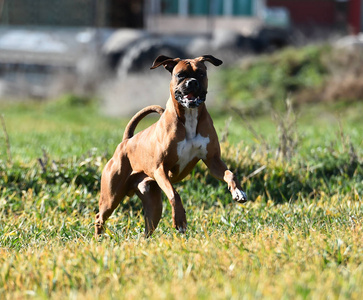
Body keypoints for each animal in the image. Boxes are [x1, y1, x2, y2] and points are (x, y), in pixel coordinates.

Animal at [95, 54, 247, 237]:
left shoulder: (213, 161)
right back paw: (98, 238)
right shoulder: (161, 169)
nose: (192, 82)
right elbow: (174, 194)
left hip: (153, 206)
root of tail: (126, 142)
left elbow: (230, 174)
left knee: (147, 228)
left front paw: (238, 191)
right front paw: (180, 220)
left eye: (201, 73)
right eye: (180, 75)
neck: (189, 117)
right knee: (99, 217)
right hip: (111, 197)